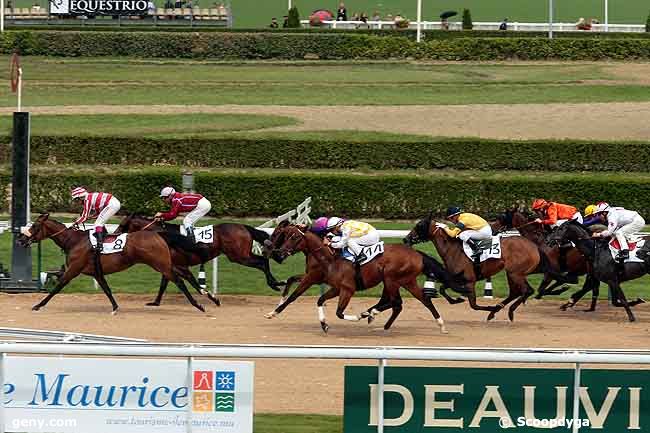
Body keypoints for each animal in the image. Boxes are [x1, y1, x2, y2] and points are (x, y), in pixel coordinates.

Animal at [18, 213, 205, 312]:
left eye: (34, 226)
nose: (20, 240)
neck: (74, 241)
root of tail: (158, 234)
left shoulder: (74, 269)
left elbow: (58, 286)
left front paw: (38, 305)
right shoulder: (96, 271)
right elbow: (106, 289)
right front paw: (115, 307)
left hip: (160, 264)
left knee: (179, 281)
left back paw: (198, 304)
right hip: (165, 263)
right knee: (182, 276)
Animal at [117, 214, 284, 306]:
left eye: (123, 224)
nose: (115, 234)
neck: (162, 235)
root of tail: (243, 227)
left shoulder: (177, 265)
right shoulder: (170, 264)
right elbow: (163, 284)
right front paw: (155, 302)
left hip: (238, 256)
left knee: (261, 262)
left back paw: (275, 284)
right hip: (242, 254)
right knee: (263, 261)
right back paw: (276, 283)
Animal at [268, 224, 466, 332]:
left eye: (294, 237)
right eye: (285, 235)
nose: (278, 252)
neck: (330, 257)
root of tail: (418, 254)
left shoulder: (345, 288)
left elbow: (337, 311)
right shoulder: (333, 286)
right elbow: (318, 299)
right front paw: (324, 325)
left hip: (392, 278)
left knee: (397, 302)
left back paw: (371, 314)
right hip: (405, 281)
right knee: (418, 300)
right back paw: (439, 325)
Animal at [404, 213, 548, 320]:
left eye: (419, 225)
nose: (406, 239)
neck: (452, 249)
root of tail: (534, 246)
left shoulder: (469, 280)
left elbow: (473, 305)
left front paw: (488, 307)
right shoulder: (456, 278)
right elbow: (443, 289)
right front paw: (456, 299)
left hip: (516, 273)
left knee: (527, 290)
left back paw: (506, 311)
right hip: (512, 273)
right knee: (515, 292)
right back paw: (497, 311)